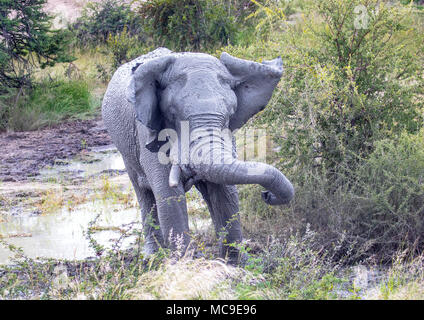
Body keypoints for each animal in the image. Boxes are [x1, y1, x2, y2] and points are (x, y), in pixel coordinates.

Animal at [102, 47, 294, 262]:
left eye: (230, 115)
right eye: (172, 114)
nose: (267, 194)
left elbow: (225, 193)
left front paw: (236, 264)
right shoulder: (148, 132)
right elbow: (168, 195)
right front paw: (184, 264)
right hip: (125, 149)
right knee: (143, 192)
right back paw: (153, 257)